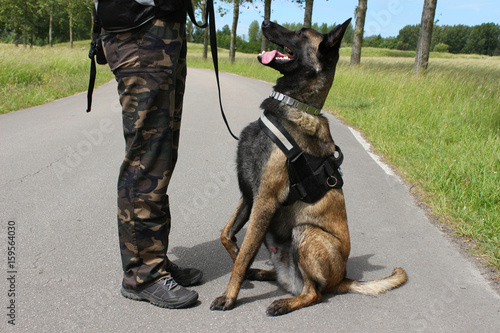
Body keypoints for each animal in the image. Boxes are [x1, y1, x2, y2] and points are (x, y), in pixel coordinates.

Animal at [209, 19, 408, 316]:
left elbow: (244, 255)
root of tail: (343, 278)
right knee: (292, 280)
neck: (295, 105)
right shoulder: (249, 195)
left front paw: (230, 296)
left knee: (314, 292)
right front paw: (239, 265)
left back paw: (284, 302)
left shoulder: (265, 200)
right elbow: (228, 237)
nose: (265, 22)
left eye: (301, 33)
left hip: (305, 232)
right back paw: (262, 274)